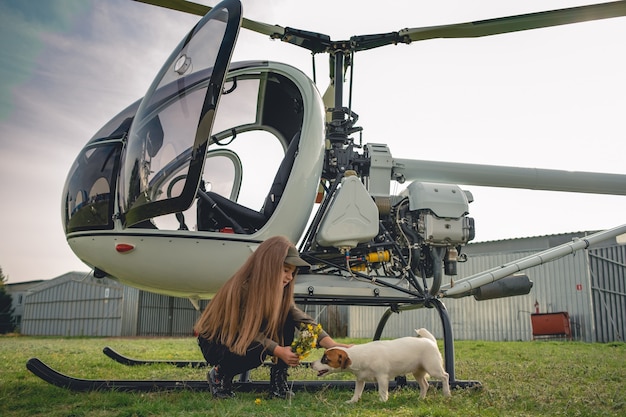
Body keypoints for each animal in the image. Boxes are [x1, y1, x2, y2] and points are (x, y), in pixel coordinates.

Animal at [310, 326, 448, 402]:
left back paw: (447, 393)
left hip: (433, 368)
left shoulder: (382, 377)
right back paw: (421, 398)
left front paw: (382, 401)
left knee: (445, 376)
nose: (311, 363)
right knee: (425, 385)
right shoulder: (360, 379)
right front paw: (353, 401)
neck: (357, 355)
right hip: (418, 372)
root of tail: (430, 341)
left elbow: (382, 391)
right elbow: (357, 392)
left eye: (325, 359)